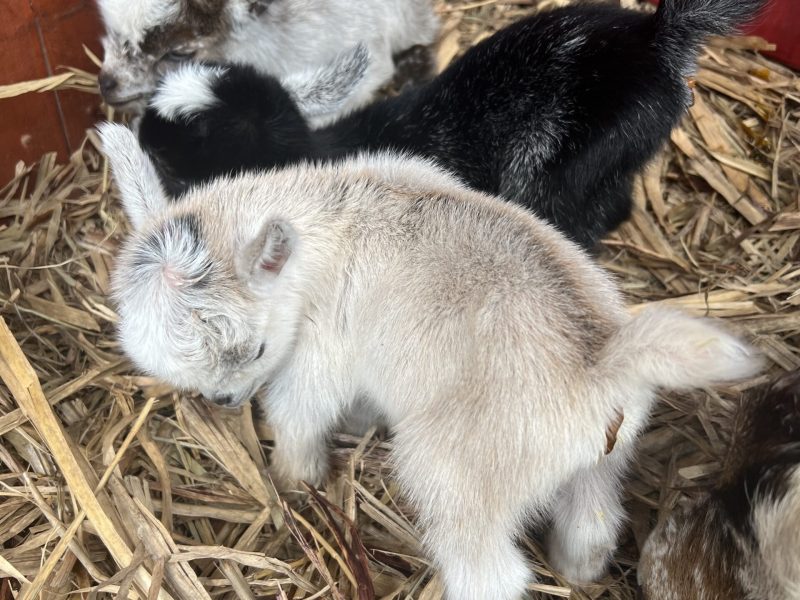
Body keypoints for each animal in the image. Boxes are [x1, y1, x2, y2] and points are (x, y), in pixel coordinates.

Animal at [100, 122, 762, 600]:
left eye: (256, 351)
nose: (225, 401)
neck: (331, 219)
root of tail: (600, 360)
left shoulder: (320, 349)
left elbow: (299, 415)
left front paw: (293, 480)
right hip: (600, 459)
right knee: (593, 523)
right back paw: (578, 572)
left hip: (457, 478)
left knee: (491, 574)